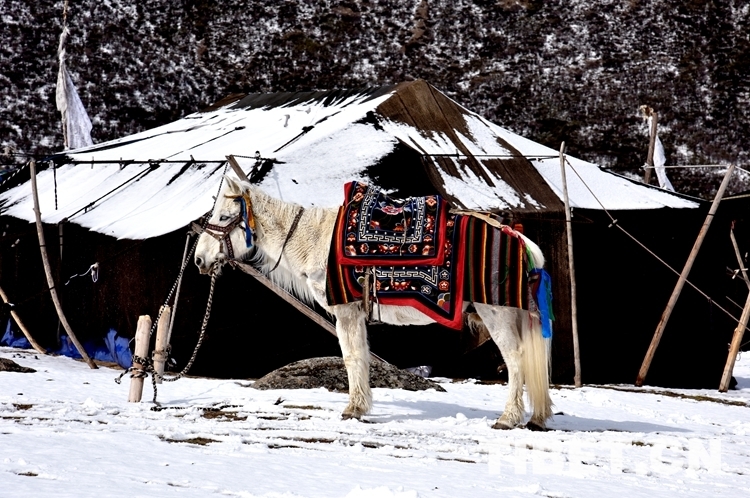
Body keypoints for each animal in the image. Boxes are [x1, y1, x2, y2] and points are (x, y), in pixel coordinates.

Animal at [197, 176, 556, 428]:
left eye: (225, 216)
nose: (199, 260)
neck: (314, 239)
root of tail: (519, 239)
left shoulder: (345, 311)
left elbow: (352, 357)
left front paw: (354, 408)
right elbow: (362, 357)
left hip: (496, 314)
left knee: (515, 360)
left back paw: (508, 418)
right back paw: (536, 417)